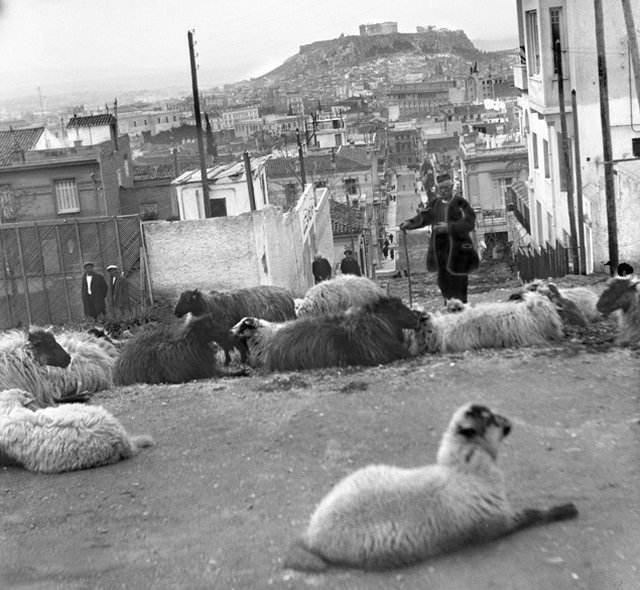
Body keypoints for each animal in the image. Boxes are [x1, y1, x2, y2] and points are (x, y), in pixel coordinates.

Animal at [282, 402, 576, 572]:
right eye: (491, 420)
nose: (510, 423)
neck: (463, 471)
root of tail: (313, 534)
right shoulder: (498, 523)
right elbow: (534, 514)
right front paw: (566, 510)